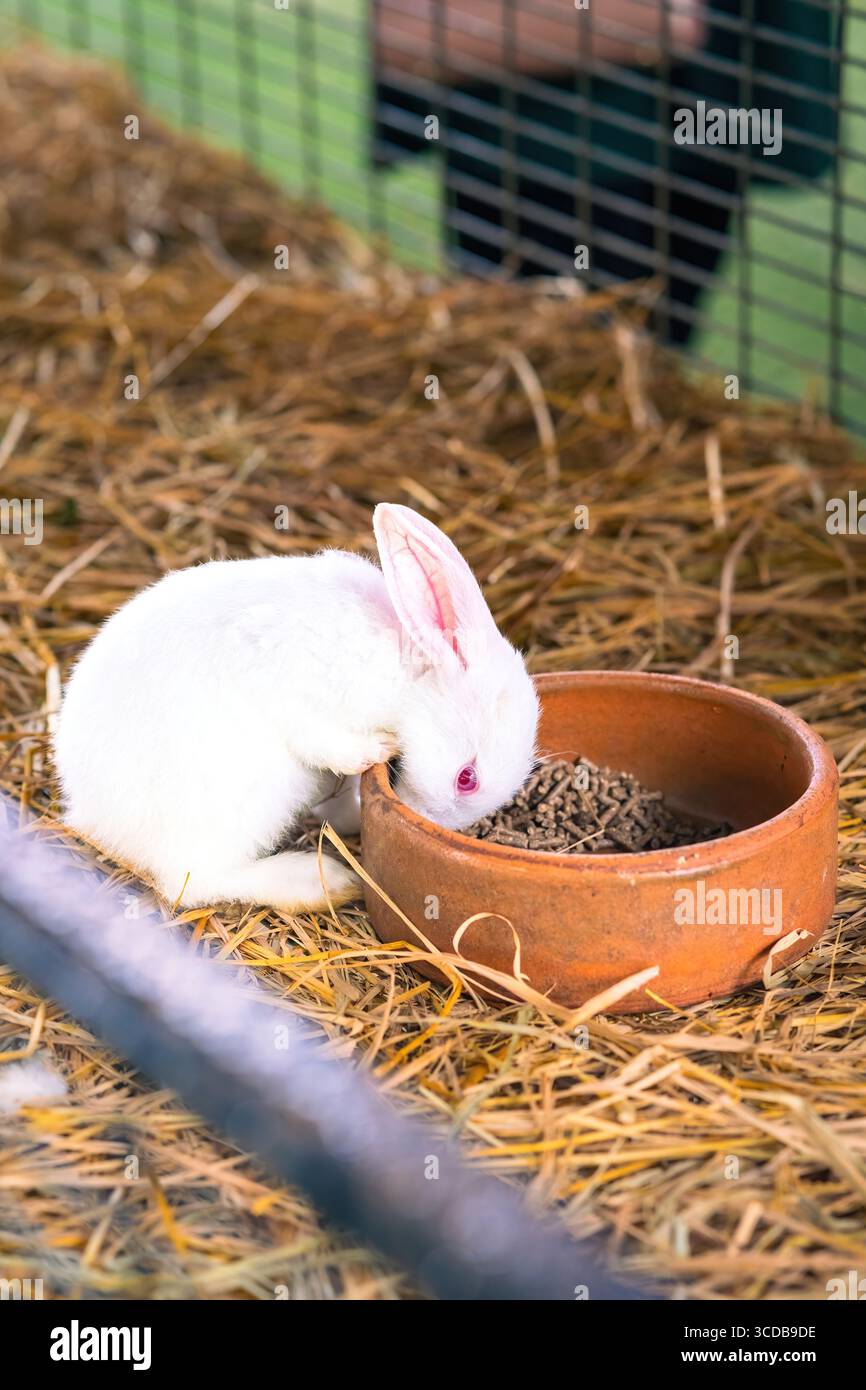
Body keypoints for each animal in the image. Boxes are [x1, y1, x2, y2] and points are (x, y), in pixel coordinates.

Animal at [53, 503, 540, 913]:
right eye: (466, 779)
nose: (429, 823)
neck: (410, 674)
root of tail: (93, 816)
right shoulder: (301, 690)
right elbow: (323, 739)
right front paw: (375, 751)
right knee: (192, 883)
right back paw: (321, 881)